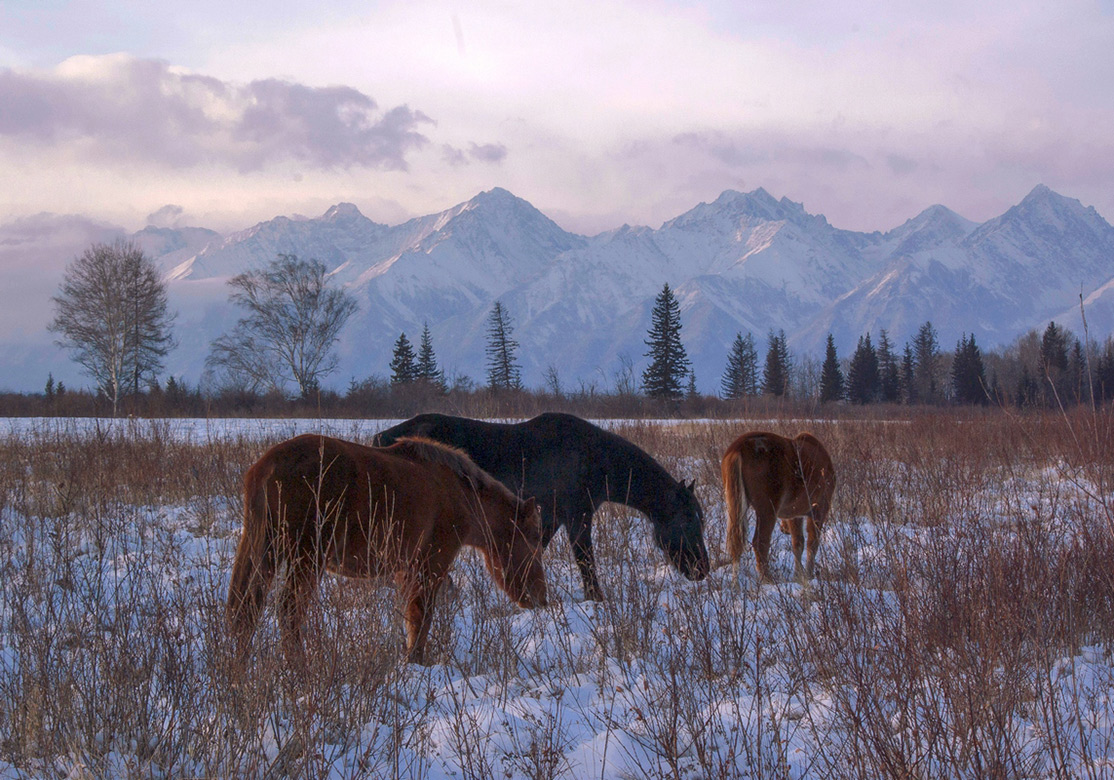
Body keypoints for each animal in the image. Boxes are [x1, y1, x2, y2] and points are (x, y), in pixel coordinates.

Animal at [226, 432, 548, 664]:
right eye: (533, 543)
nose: (541, 599)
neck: (463, 496)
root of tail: (265, 468)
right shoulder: (432, 563)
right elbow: (421, 614)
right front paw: (416, 660)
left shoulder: (405, 568)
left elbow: (410, 616)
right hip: (306, 556)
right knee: (289, 611)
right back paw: (298, 669)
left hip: (262, 549)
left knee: (243, 609)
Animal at [374, 412, 704, 601]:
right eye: (688, 522)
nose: (702, 569)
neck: (597, 460)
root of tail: (380, 438)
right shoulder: (578, 515)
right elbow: (585, 559)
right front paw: (596, 597)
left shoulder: (553, 515)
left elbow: (537, 550)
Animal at [721, 430, 837, 583]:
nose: (783, 529)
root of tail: (737, 449)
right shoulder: (819, 510)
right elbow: (812, 543)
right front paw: (808, 575)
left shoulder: (794, 514)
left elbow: (798, 543)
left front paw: (798, 575)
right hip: (767, 510)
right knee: (760, 543)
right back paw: (767, 578)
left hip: (735, 503)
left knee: (736, 542)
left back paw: (736, 582)